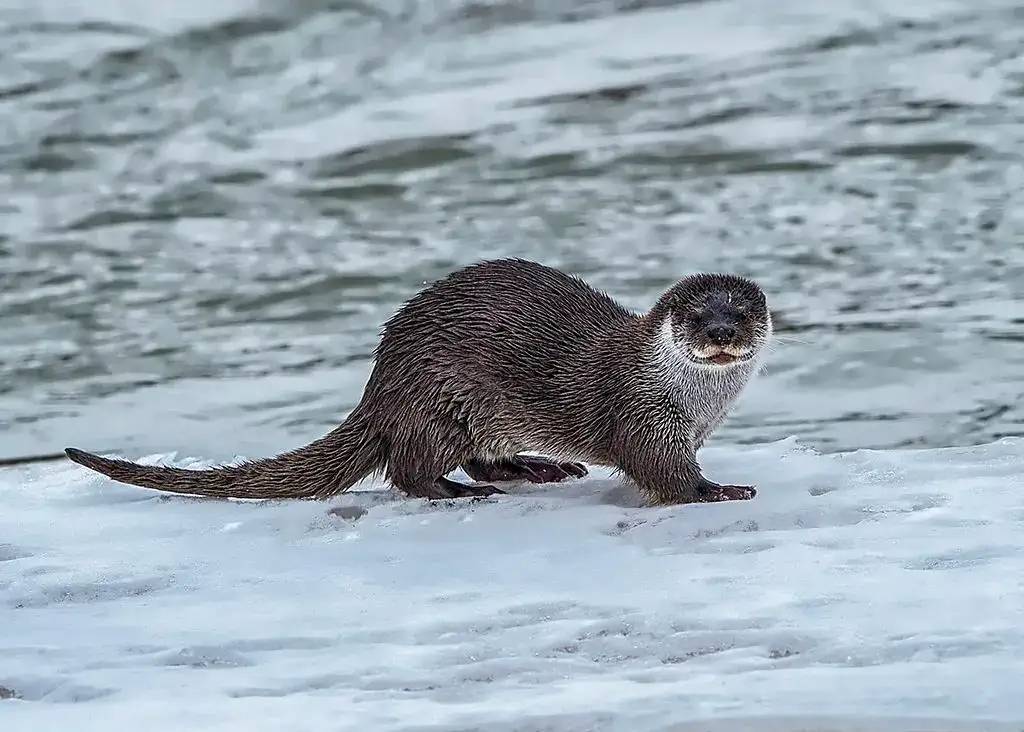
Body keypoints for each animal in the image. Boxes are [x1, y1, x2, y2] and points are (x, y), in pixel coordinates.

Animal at [66, 261, 770, 507]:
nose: (720, 333)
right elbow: (658, 470)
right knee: (409, 469)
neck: (695, 401)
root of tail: (379, 385)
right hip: (440, 400)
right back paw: (458, 492)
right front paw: (719, 490)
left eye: (741, 313)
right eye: (696, 315)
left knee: (481, 458)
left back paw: (537, 469)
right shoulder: (641, 413)